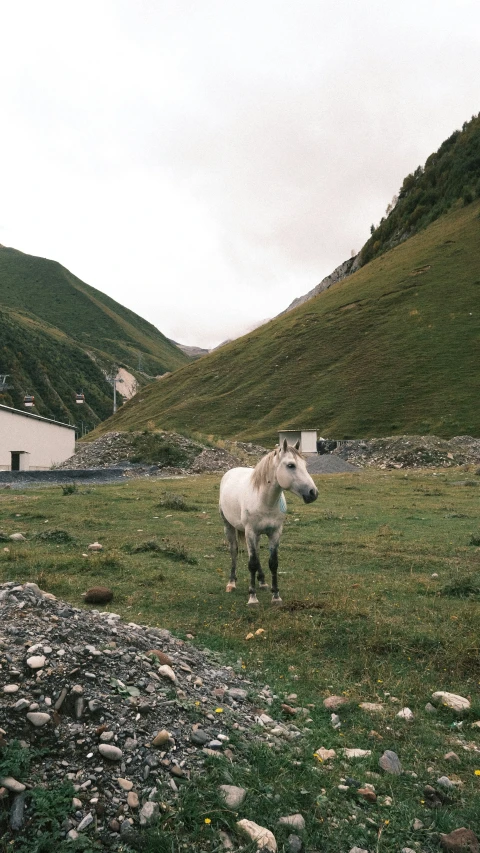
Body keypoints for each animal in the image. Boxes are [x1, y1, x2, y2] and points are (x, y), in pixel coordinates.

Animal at [218, 440, 316, 604]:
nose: (313, 493)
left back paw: (262, 582)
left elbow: (273, 563)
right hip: (229, 526)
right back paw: (231, 583)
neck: (264, 500)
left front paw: (276, 596)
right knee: (234, 551)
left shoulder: (275, 532)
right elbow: (251, 563)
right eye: (291, 465)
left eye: (305, 465)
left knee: (256, 552)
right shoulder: (250, 532)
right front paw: (252, 598)